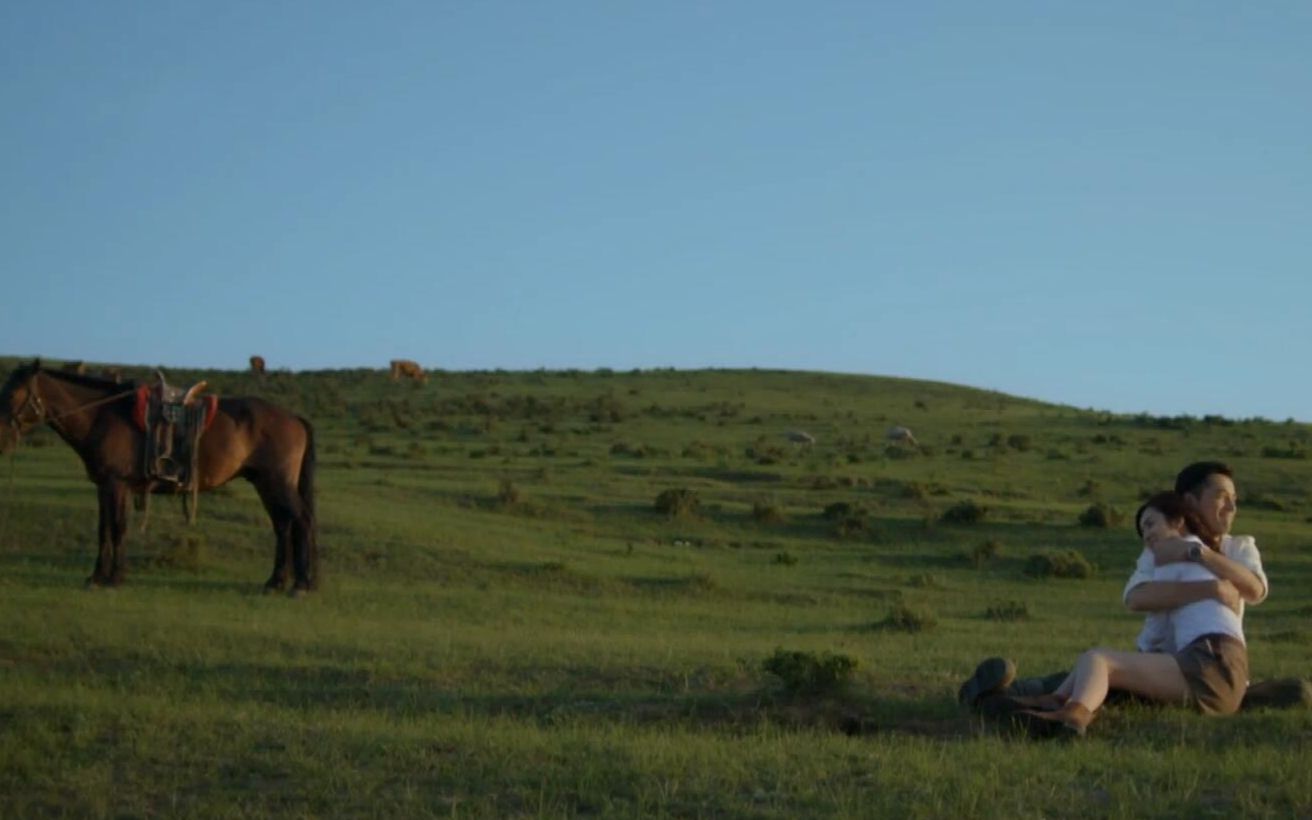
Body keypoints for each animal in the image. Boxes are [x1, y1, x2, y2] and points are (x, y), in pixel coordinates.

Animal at [0, 362, 320, 590]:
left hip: (277, 483)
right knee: (283, 525)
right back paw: (276, 582)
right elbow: (104, 530)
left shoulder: (117, 485)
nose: (2, 439)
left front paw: (114, 578)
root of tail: (293, 418)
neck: (101, 416)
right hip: (265, 483)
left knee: (301, 520)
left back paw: (302, 584)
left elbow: (117, 528)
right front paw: (97, 577)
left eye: (13, 394)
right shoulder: (105, 487)